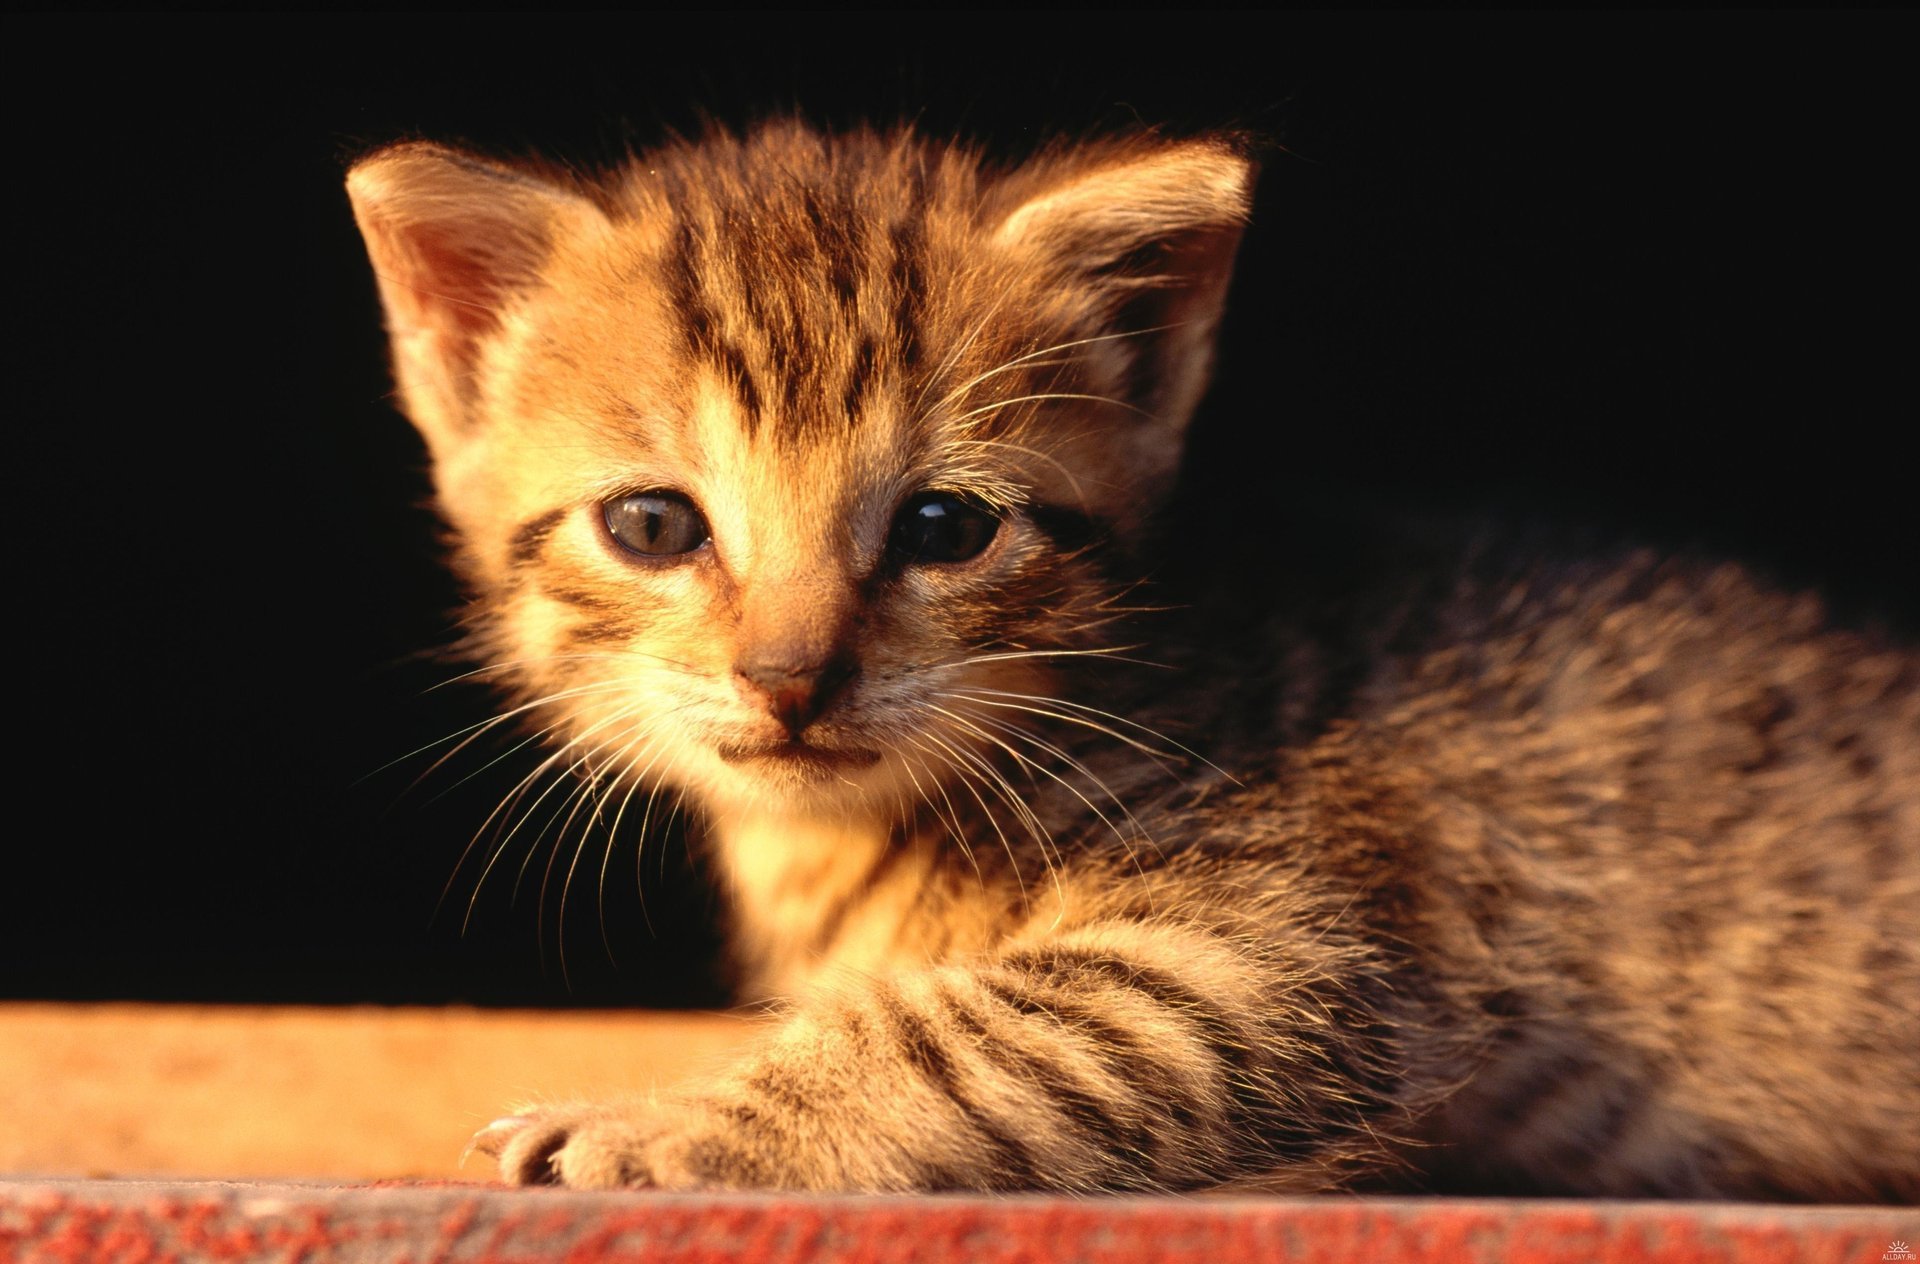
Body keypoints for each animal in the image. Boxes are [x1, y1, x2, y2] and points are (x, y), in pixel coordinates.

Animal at [349, 122, 1920, 1198]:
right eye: (655, 524)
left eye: (944, 526)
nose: (791, 678)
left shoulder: (1276, 945)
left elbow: (956, 1030)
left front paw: (657, 1123)